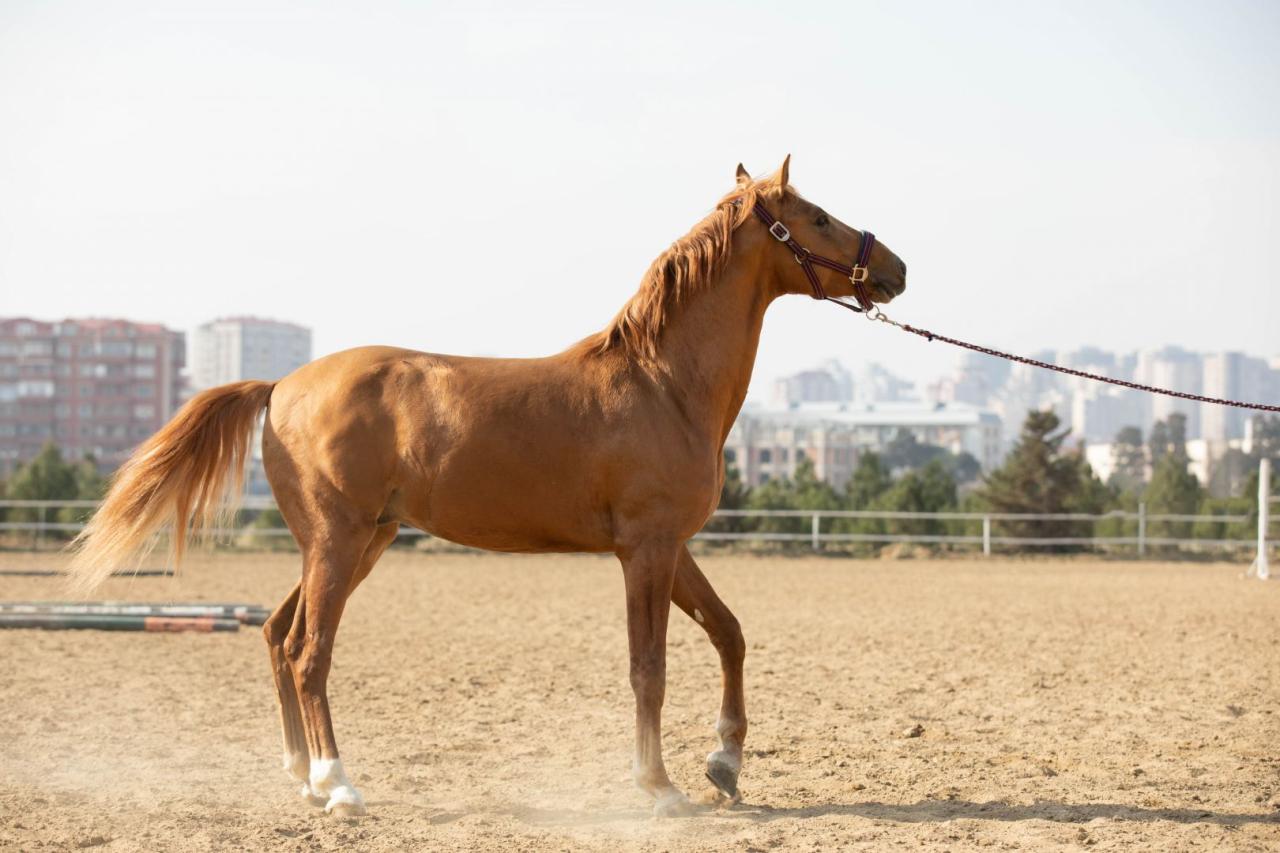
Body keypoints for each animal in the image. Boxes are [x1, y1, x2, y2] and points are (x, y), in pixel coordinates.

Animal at [67, 157, 911, 819]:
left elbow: (728, 632)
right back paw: (339, 786)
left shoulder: (671, 546)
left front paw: (725, 764)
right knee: (309, 653)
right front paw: (660, 785)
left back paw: (305, 779)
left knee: (278, 635)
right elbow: (649, 666)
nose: (897, 269)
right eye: (818, 216)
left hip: (351, 542)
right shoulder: (644, 550)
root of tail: (279, 386)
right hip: (340, 542)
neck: (662, 384)